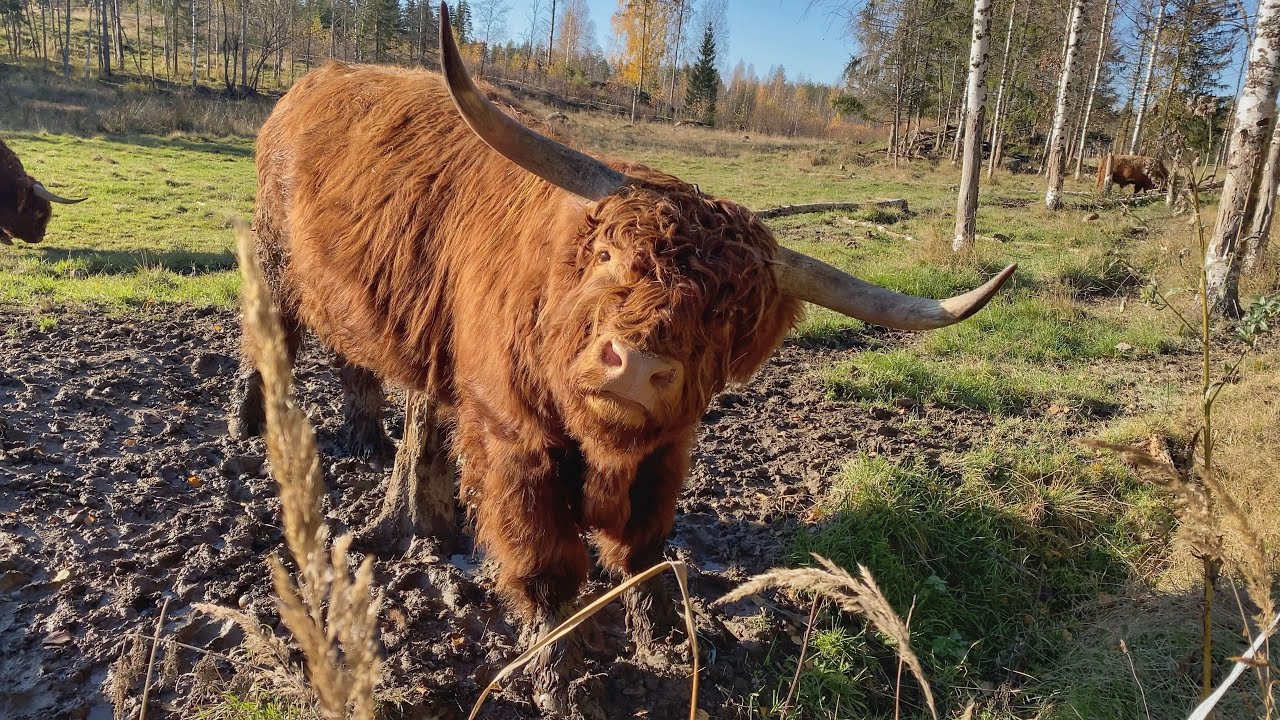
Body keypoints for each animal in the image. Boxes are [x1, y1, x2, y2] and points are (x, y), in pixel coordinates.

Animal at [231, 5, 1015, 714]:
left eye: (732, 316)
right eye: (610, 258)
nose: (635, 365)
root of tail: (308, 87)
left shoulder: (665, 451)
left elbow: (644, 547)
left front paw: (668, 635)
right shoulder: (515, 442)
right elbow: (548, 566)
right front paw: (559, 684)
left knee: (363, 364)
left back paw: (374, 444)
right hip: (274, 258)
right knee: (273, 336)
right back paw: (251, 424)